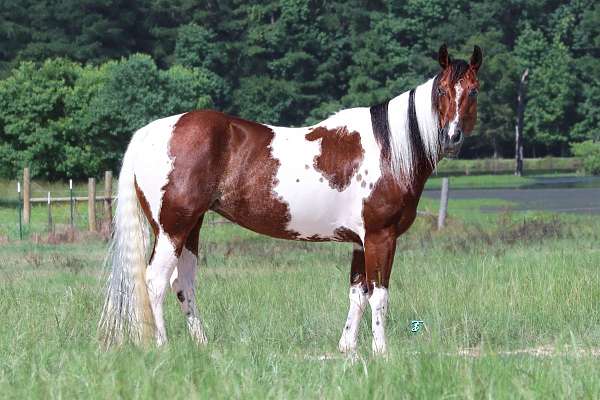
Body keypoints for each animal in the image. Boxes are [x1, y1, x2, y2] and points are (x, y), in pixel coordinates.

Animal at [98, 45, 482, 354]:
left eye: (474, 91)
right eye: (442, 90)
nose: (452, 137)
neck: (388, 149)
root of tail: (149, 133)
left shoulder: (360, 242)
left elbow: (357, 293)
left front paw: (347, 348)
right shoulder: (380, 238)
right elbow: (379, 294)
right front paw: (381, 351)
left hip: (191, 227)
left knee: (183, 283)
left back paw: (202, 345)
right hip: (171, 228)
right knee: (155, 281)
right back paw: (161, 346)